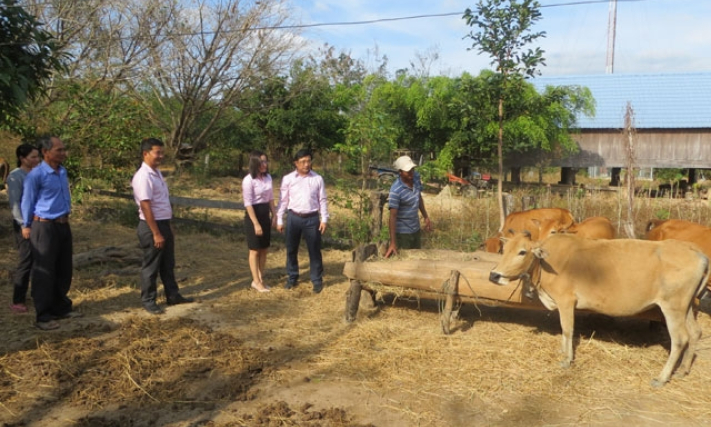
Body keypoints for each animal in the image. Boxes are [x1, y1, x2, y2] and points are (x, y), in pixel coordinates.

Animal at [490, 234, 708, 388]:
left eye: (522, 252)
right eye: (504, 249)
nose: (494, 275)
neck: (545, 265)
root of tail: (698, 252)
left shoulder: (566, 300)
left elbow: (567, 329)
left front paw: (566, 359)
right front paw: (563, 351)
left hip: (673, 307)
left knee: (679, 339)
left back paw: (662, 378)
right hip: (687, 306)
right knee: (695, 332)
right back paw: (682, 370)